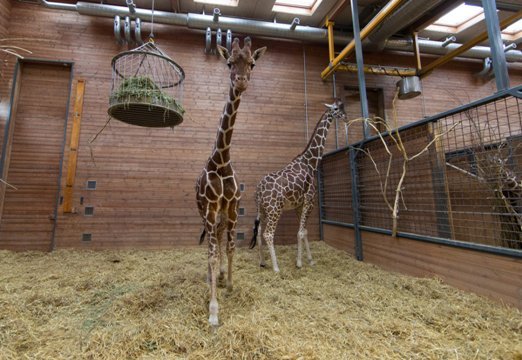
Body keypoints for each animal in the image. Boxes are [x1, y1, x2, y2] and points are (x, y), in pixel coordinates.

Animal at [249, 98, 344, 272]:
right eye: (336, 109)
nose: (345, 116)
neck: (310, 163)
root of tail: (258, 191)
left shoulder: (298, 205)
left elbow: (304, 231)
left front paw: (310, 260)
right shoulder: (309, 201)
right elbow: (300, 232)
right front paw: (299, 262)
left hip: (262, 210)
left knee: (258, 231)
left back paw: (263, 262)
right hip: (275, 209)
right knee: (268, 234)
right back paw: (276, 268)